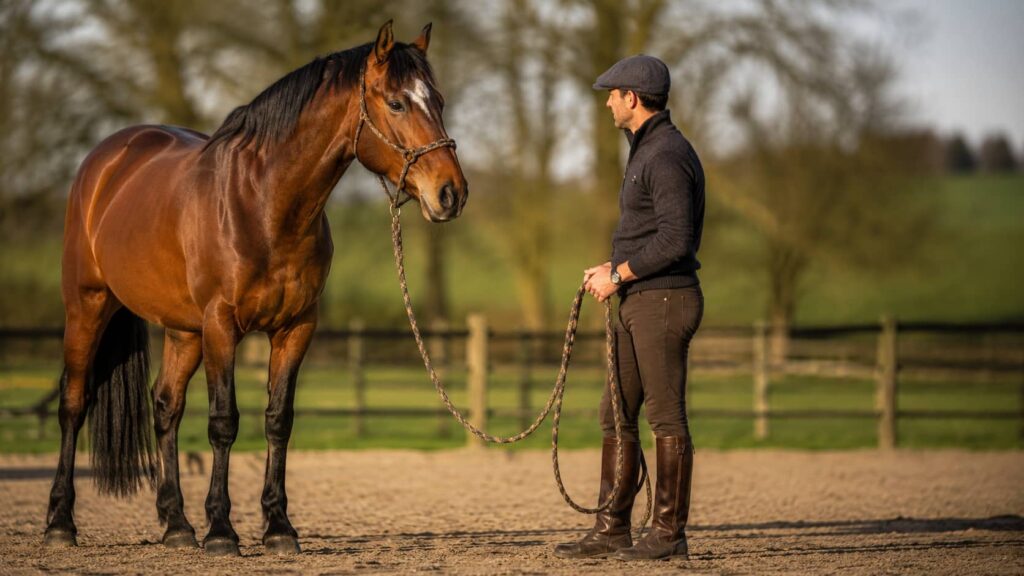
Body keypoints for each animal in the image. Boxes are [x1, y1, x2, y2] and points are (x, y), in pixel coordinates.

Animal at [43, 21, 467, 556]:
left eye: (439, 100)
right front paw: (222, 531)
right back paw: (61, 523)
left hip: (183, 330)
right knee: (74, 403)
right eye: (396, 103)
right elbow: (224, 421)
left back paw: (176, 525)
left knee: (165, 406)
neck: (263, 203)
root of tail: (106, 160)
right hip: (89, 306)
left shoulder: (295, 328)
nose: (452, 194)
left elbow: (278, 420)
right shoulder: (222, 325)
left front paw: (279, 527)